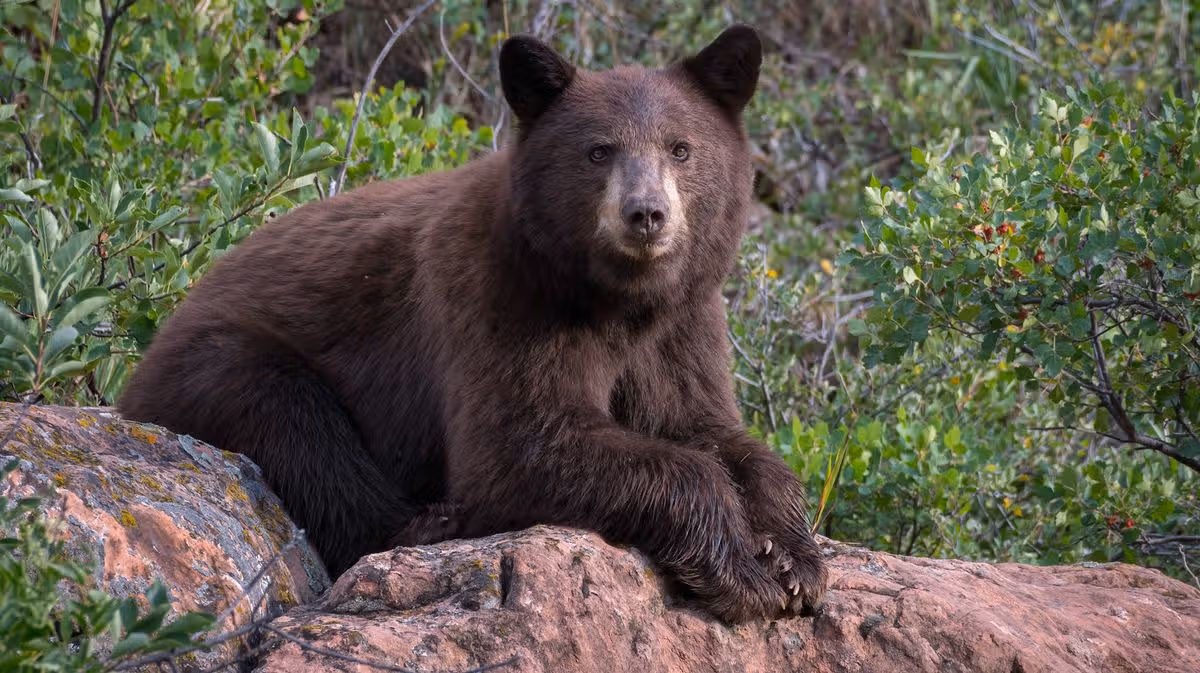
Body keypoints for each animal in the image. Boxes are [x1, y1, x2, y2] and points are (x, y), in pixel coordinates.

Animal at [118, 24, 827, 623]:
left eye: (681, 149)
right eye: (599, 151)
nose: (646, 214)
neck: (617, 299)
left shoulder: (684, 323)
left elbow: (712, 429)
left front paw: (793, 557)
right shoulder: (498, 298)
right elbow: (517, 445)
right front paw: (743, 570)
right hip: (219, 364)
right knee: (298, 427)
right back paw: (431, 525)